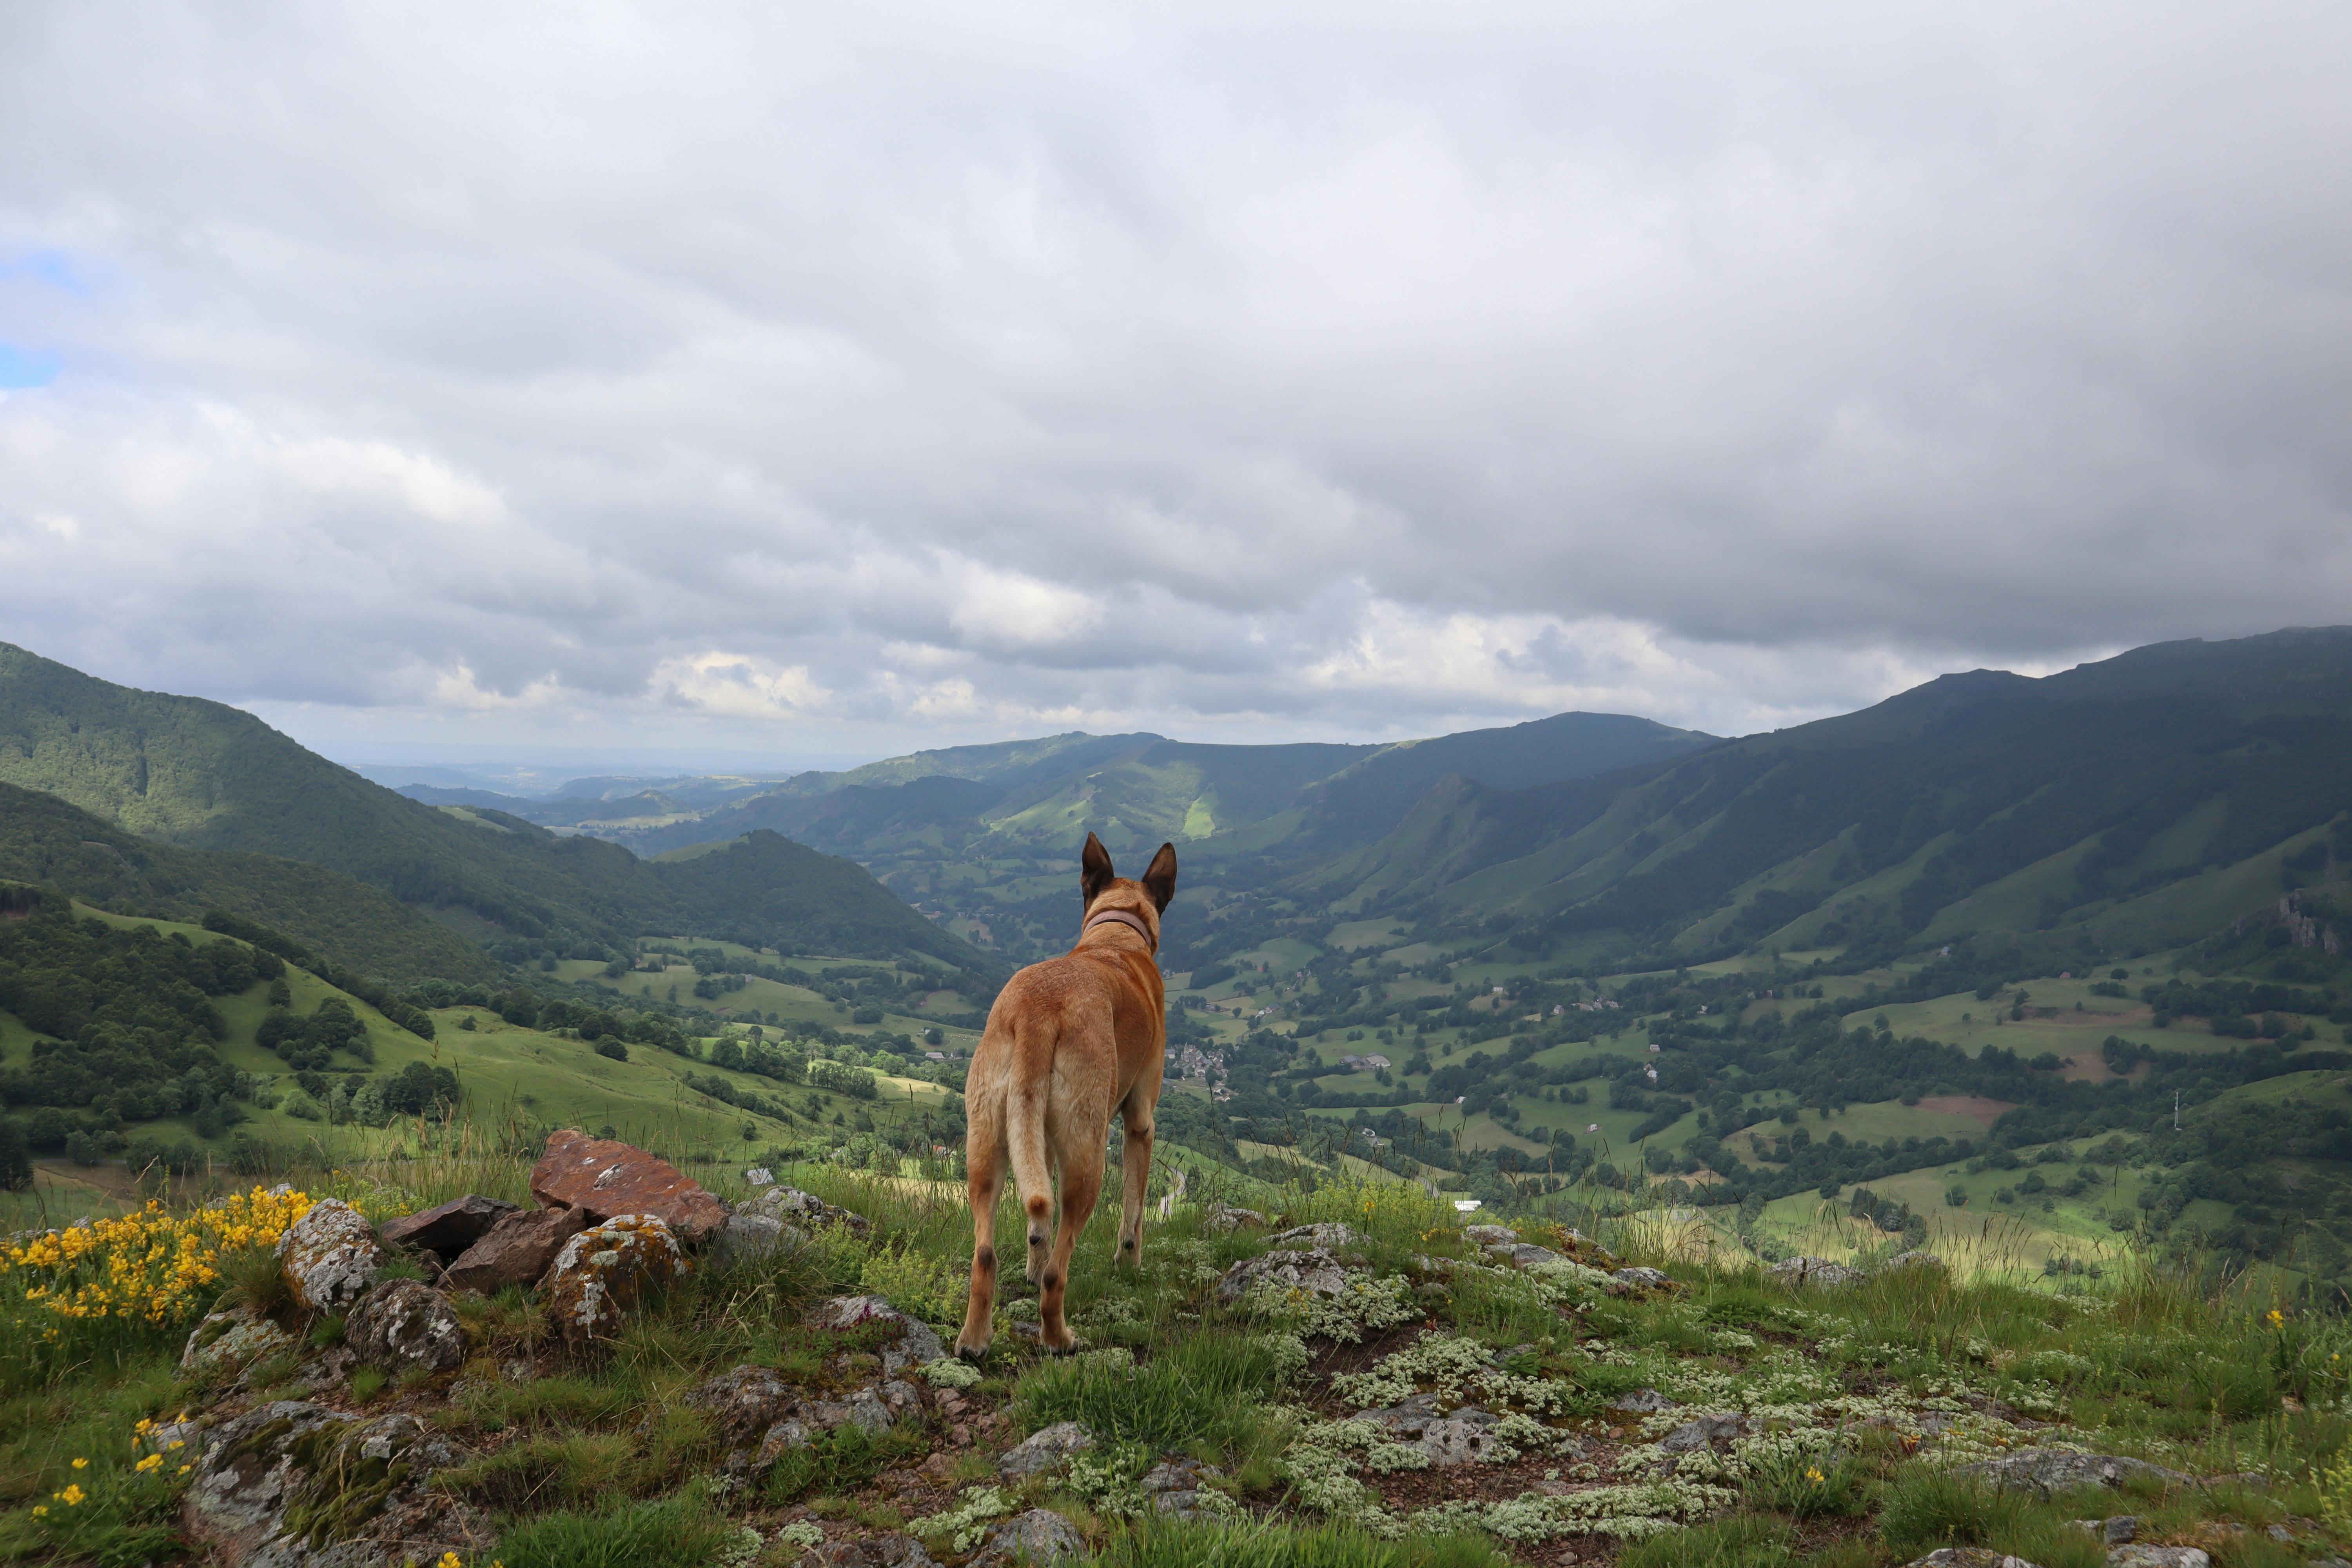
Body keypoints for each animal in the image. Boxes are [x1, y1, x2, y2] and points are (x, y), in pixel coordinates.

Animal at [955, 832, 1176, 1363]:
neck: (1116, 935)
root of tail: (1038, 1010)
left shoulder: (1041, 1139)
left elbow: (1040, 1223)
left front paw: (1031, 1265)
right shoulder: (1140, 1121)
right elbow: (1134, 1212)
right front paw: (1130, 1264)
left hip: (988, 1142)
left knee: (988, 1251)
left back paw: (974, 1340)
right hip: (1088, 1155)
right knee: (1061, 1267)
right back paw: (1059, 1338)